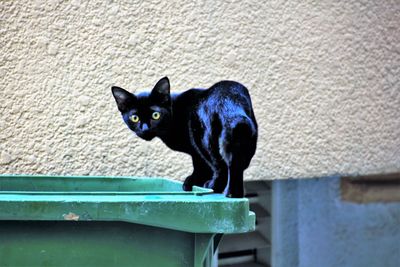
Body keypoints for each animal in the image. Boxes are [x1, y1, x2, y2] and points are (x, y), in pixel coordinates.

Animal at [111, 77, 258, 199]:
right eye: (134, 118)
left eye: (155, 115)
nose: (145, 129)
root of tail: (229, 99)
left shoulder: (195, 151)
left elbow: (200, 166)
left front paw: (192, 182)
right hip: (244, 135)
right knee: (235, 164)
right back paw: (235, 193)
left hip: (203, 139)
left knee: (219, 166)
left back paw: (214, 187)